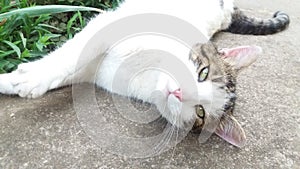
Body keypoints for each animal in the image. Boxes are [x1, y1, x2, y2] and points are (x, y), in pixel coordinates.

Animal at [0, 0, 290, 147]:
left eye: (200, 113)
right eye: (203, 73)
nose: (179, 91)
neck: (147, 75)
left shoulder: (94, 72)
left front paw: (11, 82)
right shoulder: (105, 27)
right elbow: (68, 57)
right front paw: (27, 77)